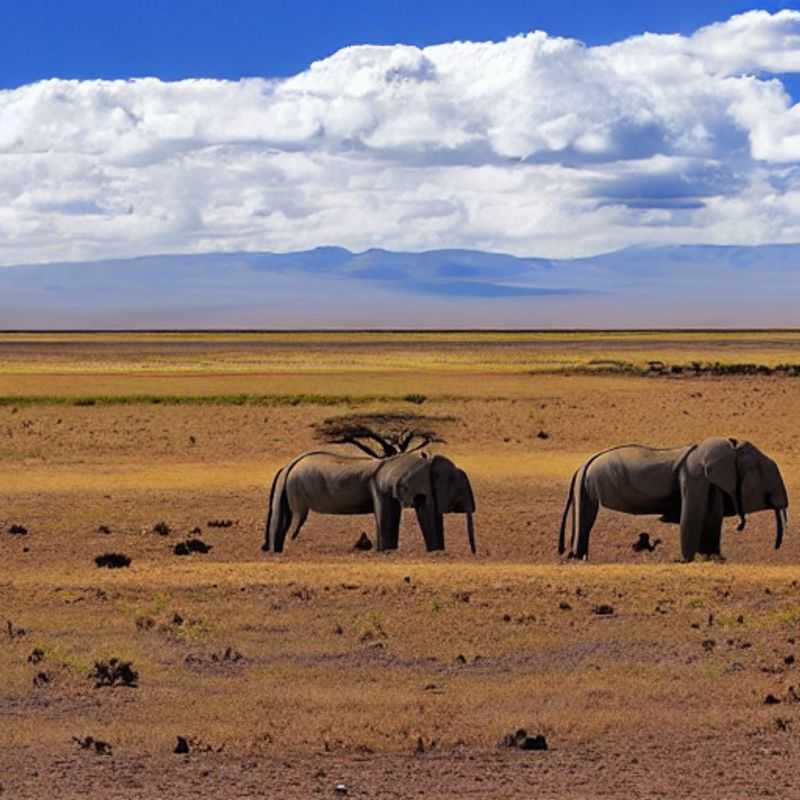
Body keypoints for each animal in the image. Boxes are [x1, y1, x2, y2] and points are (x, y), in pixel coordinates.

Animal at [262, 450, 476, 554]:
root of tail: (288, 465)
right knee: (295, 520)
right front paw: (386, 551)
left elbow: (428, 514)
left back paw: (275, 551)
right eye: (458, 490)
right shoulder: (379, 486)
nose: (474, 554)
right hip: (296, 489)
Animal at [558, 437, 789, 562]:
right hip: (587, 484)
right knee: (587, 517)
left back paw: (577, 557)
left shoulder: (711, 483)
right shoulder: (694, 476)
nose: (776, 548)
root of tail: (583, 465)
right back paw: (577, 558)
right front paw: (684, 561)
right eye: (762, 471)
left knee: (586, 518)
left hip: (584, 486)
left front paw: (715, 559)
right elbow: (692, 515)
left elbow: (713, 518)